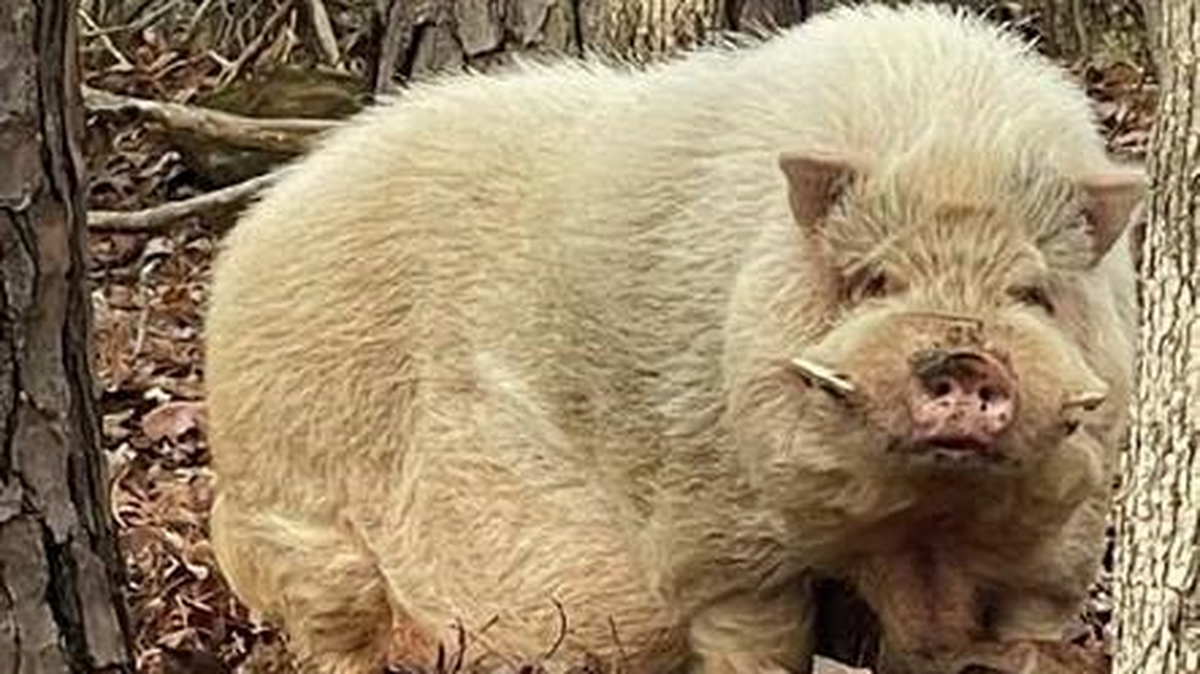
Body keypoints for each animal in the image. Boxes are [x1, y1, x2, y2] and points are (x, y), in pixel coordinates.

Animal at [204, 4, 1144, 674]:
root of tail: (256, 226)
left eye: (1031, 293)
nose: (965, 354)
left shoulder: (1059, 542)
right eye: (874, 280)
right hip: (302, 524)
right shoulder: (711, 524)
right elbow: (756, 638)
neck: (917, 528)